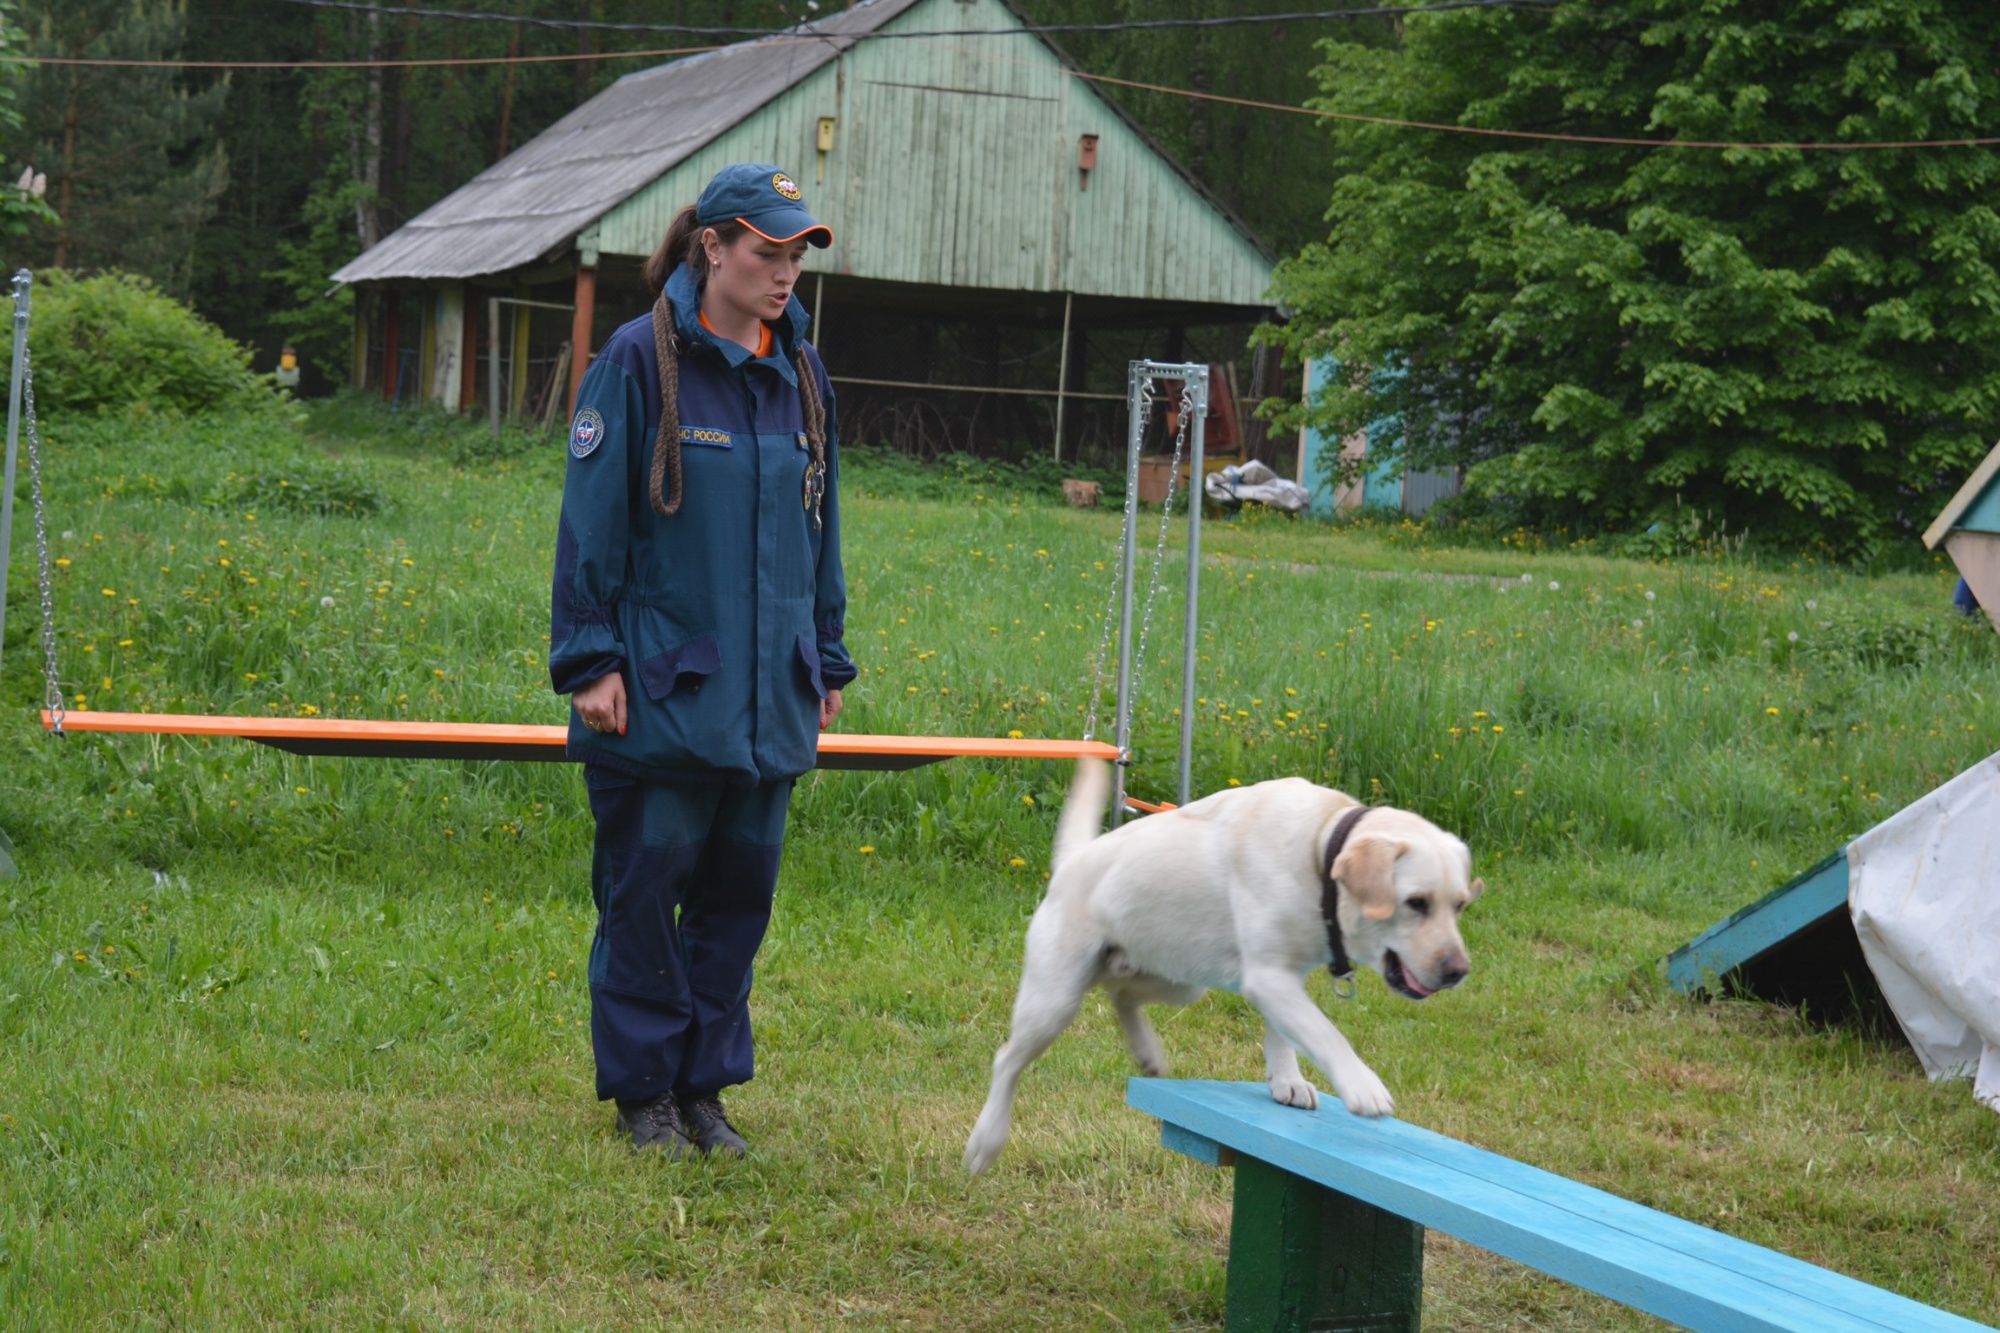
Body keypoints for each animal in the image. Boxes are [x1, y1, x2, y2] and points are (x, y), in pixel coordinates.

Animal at [960, 756, 1480, 1176]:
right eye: (1416, 903)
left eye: (1459, 906)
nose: (1458, 971)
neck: (1319, 849)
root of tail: (1072, 862)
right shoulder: (1269, 977)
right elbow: (1324, 1032)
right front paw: (1362, 1087)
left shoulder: (1284, 977)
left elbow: (1286, 1034)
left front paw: (1287, 1082)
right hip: (1055, 999)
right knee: (1007, 1060)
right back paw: (986, 1141)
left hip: (1182, 981)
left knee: (1122, 996)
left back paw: (1147, 1052)